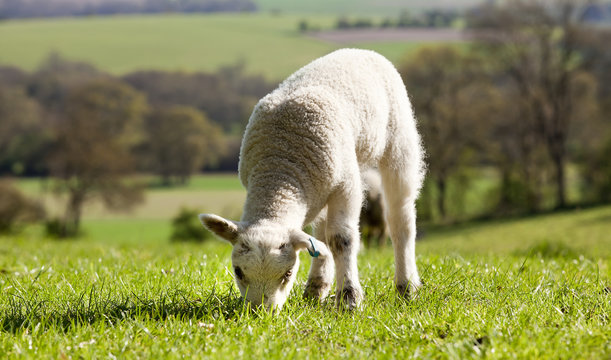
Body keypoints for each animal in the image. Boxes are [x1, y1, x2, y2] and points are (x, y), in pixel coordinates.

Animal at [201, 48, 426, 312]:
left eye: (288, 274)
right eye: (237, 271)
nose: (261, 314)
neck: (280, 169)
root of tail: (360, 50)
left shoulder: (346, 185)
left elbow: (342, 239)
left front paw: (349, 298)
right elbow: (321, 242)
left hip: (399, 142)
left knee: (400, 219)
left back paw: (407, 287)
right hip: (324, 182)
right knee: (320, 232)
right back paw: (316, 287)